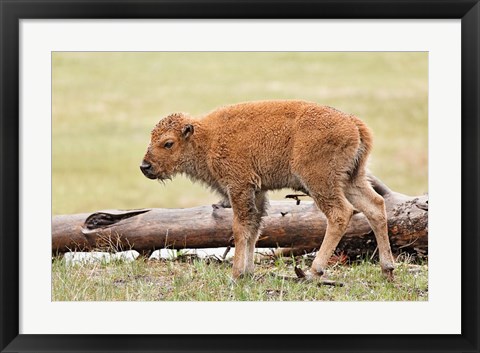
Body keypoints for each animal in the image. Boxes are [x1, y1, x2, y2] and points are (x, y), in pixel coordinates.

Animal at [141, 100, 396, 280]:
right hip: (352, 180)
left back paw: (314, 271)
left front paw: (236, 274)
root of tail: (353, 123)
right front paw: (248, 272)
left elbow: (240, 228)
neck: (206, 138)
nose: (145, 166)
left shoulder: (239, 187)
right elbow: (254, 228)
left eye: (168, 143)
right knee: (375, 206)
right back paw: (387, 268)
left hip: (320, 182)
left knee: (340, 214)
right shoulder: (257, 191)